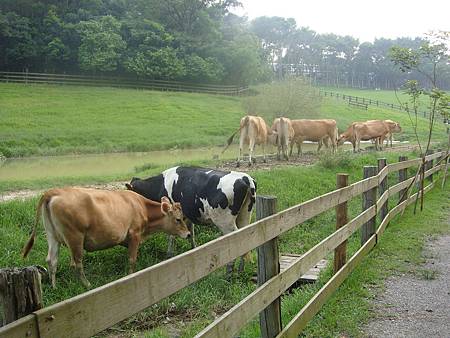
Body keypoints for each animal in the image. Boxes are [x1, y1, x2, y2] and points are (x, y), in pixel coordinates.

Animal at [22, 187, 190, 288]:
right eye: (178, 219)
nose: (188, 234)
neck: (142, 207)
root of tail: (53, 191)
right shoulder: (134, 234)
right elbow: (132, 259)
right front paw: (130, 275)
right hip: (75, 237)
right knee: (76, 262)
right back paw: (87, 284)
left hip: (52, 236)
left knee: (52, 260)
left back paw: (54, 285)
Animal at [125, 166, 256, 274]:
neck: (160, 185)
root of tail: (245, 178)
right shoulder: (187, 215)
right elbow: (191, 233)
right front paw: (193, 251)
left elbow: (172, 236)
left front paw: (169, 255)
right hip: (245, 216)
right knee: (245, 238)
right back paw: (240, 270)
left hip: (225, 222)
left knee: (235, 240)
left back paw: (229, 271)